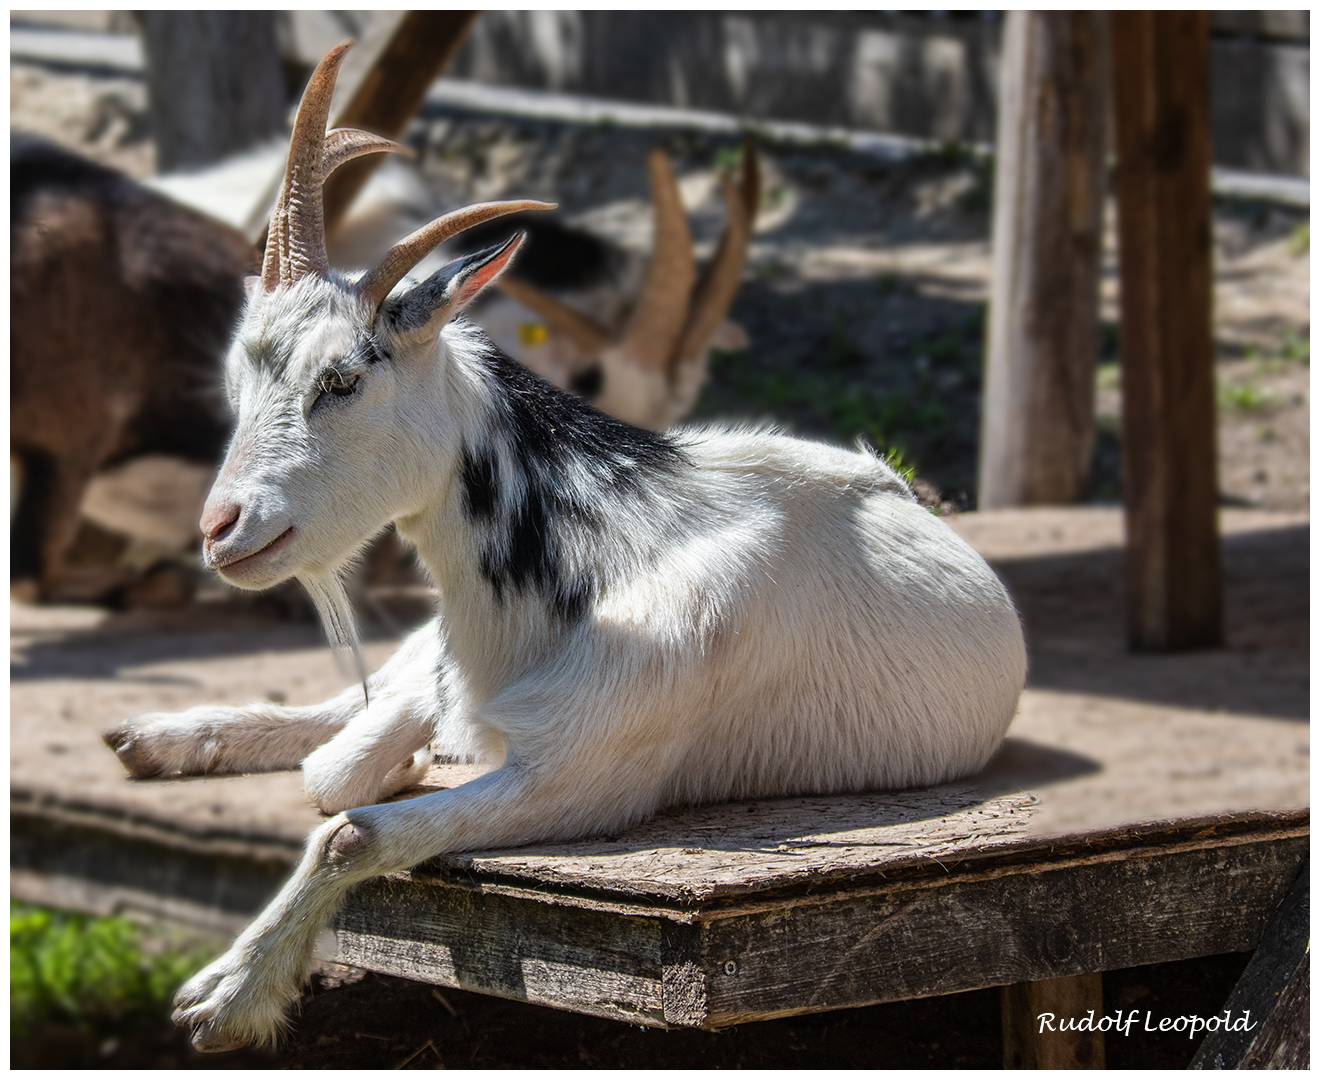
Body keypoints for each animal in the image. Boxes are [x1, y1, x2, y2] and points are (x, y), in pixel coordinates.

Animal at [105, 46, 1029, 1045]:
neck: (596, 556)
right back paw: (162, 735)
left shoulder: (584, 776)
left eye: (342, 379)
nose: (220, 529)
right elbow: (341, 777)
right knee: (342, 714)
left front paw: (227, 995)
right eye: (238, 373)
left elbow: (351, 825)